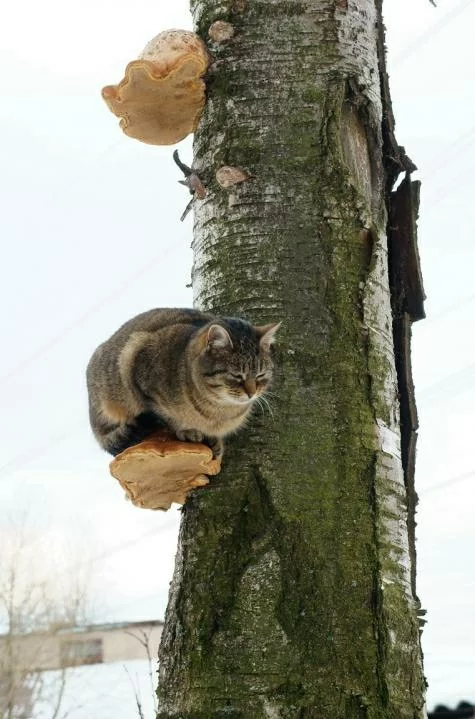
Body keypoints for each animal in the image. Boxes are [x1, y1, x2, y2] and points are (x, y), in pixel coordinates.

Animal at [86, 308, 280, 456]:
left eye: (260, 375)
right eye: (236, 375)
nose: (251, 393)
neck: (218, 410)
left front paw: (215, 440)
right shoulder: (134, 358)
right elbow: (167, 418)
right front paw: (186, 431)